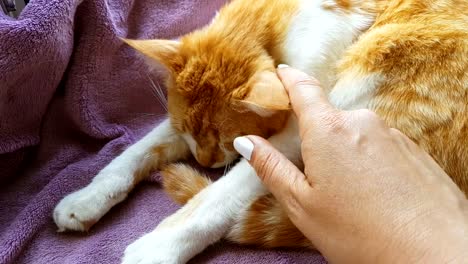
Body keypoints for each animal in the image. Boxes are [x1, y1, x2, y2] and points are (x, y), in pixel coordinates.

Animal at [53, 0, 466, 262]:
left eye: (226, 140)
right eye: (188, 131)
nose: (204, 160)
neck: (275, 26)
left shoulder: (300, 129)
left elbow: (221, 194)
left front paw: (159, 246)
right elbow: (140, 148)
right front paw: (87, 197)